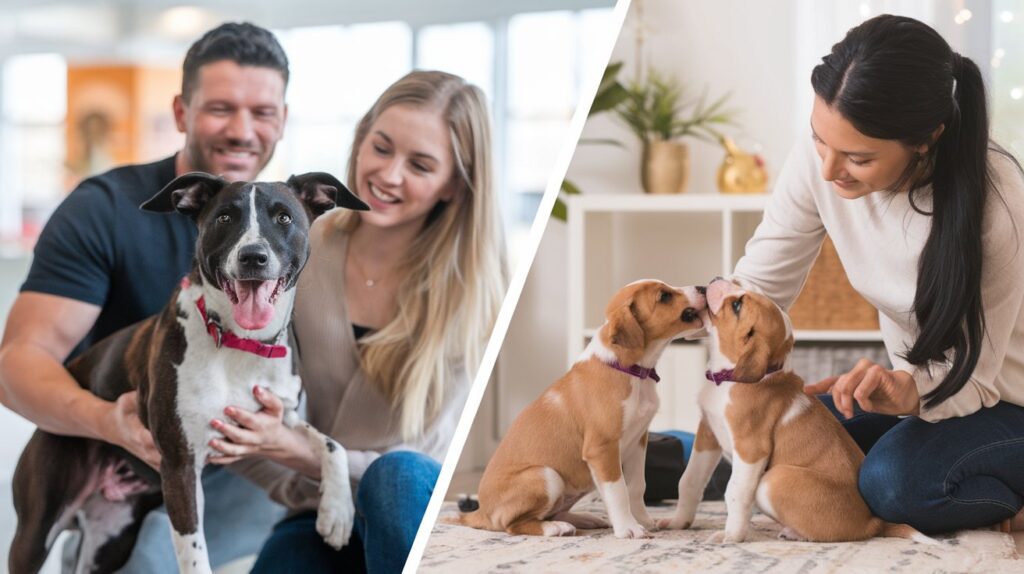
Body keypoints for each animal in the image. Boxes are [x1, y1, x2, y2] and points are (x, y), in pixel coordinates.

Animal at [9, 170, 368, 572]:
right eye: (225, 217)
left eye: (284, 217)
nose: (253, 257)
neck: (239, 342)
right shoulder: (180, 466)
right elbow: (195, 555)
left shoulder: (279, 418)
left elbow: (331, 443)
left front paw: (337, 513)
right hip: (37, 527)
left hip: (110, 538)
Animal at [448, 280, 704, 536]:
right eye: (664, 296)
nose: (702, 288)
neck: (632, 371)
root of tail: (480, 512)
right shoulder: (602, 448)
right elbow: (618, 491)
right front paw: (628, 529)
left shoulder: (638, 442)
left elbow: (636, 487)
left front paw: (643, 520)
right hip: (546, 475)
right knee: (513, 524)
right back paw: (555, 528)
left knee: (555, 511)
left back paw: (586, 519)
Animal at [659, 280, 933, 544]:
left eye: (737, 305)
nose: (715, 279)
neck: (725, 379)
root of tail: (874, 522)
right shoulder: (708, 435)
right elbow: (689, 481)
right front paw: (679, 523)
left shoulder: (750, 450)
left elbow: (735, 491)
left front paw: (731, 536)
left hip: (773, 480)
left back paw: (792, 532)